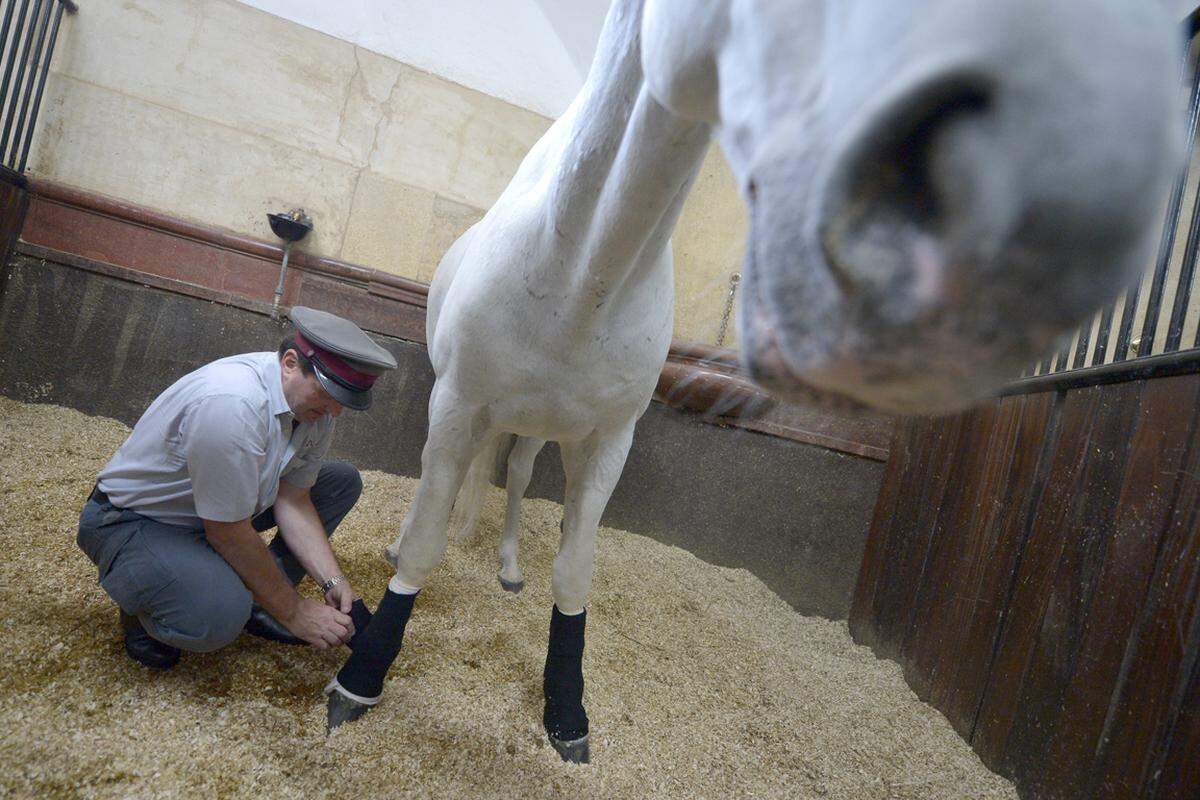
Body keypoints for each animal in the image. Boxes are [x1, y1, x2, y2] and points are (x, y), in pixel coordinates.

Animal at [326, 0, 1180, 762]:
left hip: (543, 429)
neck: (581, 273)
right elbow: (428, 538)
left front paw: (566, 714)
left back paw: (506, 568)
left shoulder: (606, 441)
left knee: (516, 475)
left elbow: (574, 569)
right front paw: (360, 678)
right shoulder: (460, 403)